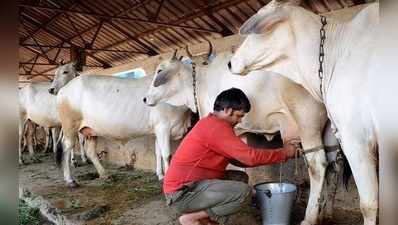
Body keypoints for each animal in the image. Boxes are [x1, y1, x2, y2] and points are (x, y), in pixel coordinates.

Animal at [49, 62, 192, 186]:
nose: (51, 89)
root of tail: (63, 89)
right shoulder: (163, 127)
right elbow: (167, 155)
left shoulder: (157, 130)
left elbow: (158, 152)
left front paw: (160, 175)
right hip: (70, 125)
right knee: (67, 147)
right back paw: (70, 180)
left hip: (90, 130)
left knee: (90, 151)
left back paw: (105, 175)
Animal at [229, 0, 380, 224]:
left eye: (254, 33)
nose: (230, 63)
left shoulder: (356, 138)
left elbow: (369, 204)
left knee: (318, 164)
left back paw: (310, 217)